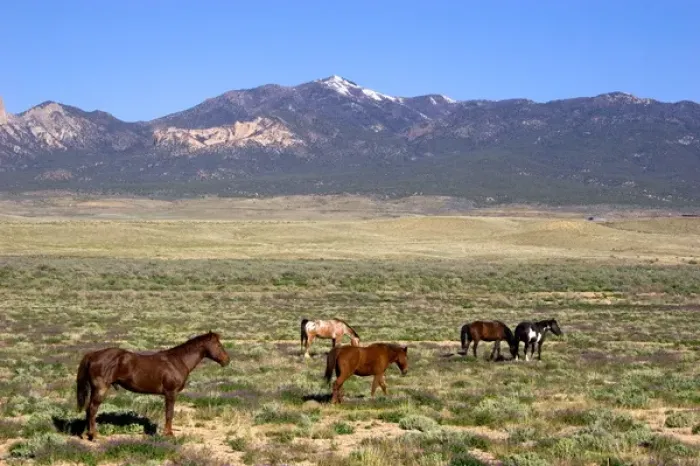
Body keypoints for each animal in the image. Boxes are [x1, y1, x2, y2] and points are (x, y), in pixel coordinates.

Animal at [75, 331, 230, 440]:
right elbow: (169, 413)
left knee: (88, 410)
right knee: (92, 409)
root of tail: (93, 355)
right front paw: (169, 434)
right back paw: (95, 435)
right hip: (100, 389)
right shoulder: (171, 393)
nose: (227, 360)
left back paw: (87, 434)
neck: (177, 361)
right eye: (218, 345)